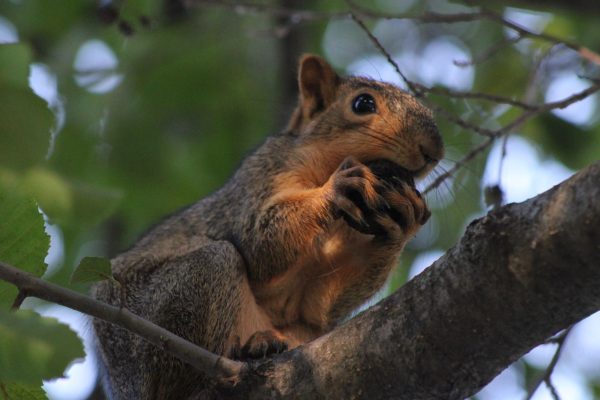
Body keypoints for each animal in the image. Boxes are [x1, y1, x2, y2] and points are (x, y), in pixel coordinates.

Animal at [91, 54, 442, 400]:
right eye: (363, 103)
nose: (433, 150)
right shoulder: (259, 179)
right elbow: (260, 245)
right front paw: (335, 189)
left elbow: (321, 306)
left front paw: (404, 220)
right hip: (166, 314)